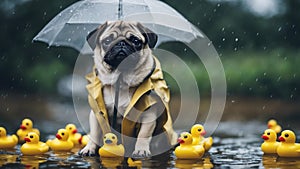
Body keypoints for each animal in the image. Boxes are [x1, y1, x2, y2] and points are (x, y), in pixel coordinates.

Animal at [79, 21, 177, 158]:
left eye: (135, 41)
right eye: (107, 41)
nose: (121, 43)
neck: (120, 80)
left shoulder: (148, 114)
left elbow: (143, 134)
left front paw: (141, 150)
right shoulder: (96, 113)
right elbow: (94, 133)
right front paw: (89, 148)